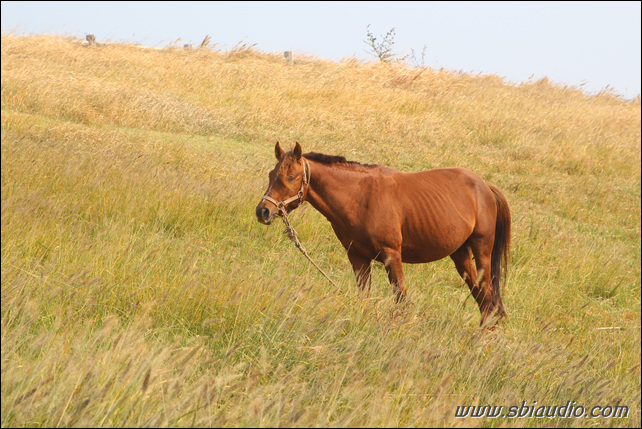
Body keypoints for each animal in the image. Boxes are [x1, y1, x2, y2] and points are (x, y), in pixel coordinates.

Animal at [255, 142, 510, 326]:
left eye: (290, 177)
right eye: (270, 174)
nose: (263, 211)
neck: (360, 197)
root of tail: (485, 186)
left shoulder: (391, 256)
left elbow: (401, 298)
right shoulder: (357, 257)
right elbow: (364, 297)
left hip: (482, 251)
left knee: (488, 296)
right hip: (460, 255)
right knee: (481, 296)